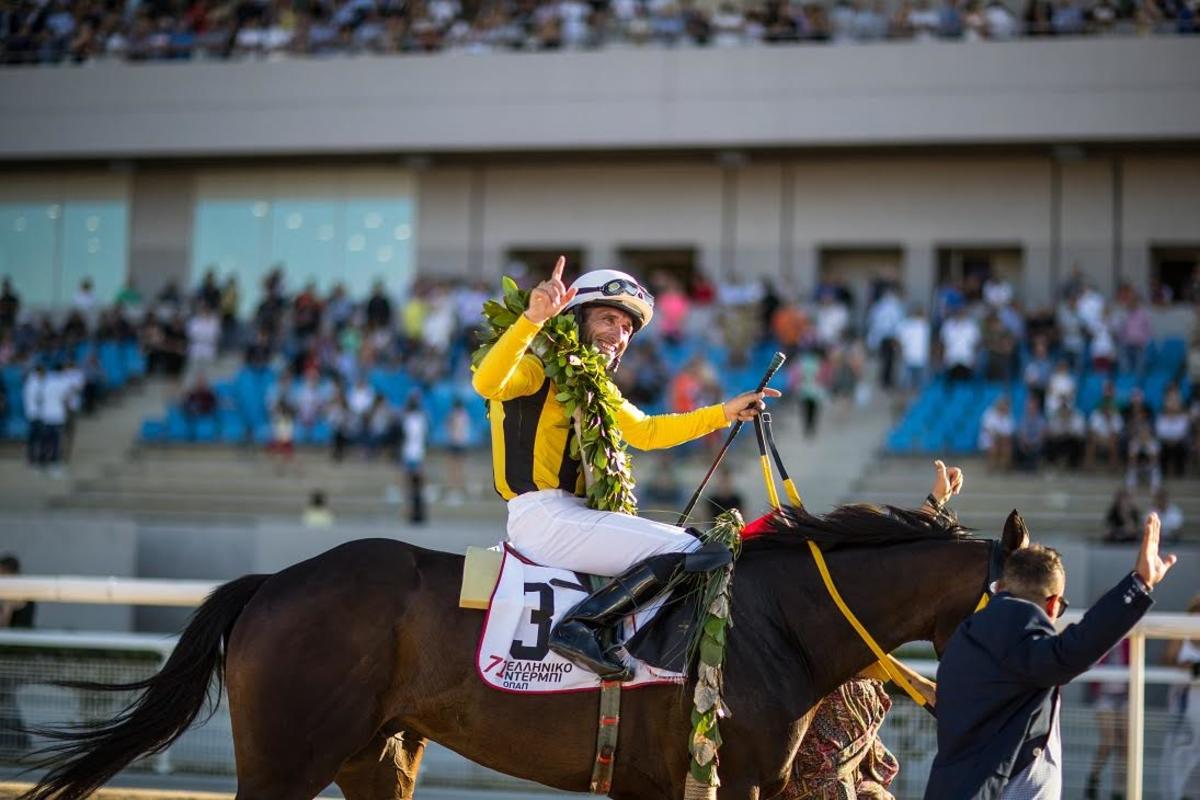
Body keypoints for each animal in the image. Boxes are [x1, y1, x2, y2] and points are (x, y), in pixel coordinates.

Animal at [21, 503, 1032, 796]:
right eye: (1043, 604)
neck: (774, 617)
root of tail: (273, 582)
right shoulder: (734, 781)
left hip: (373, 755)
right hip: (284, 760)